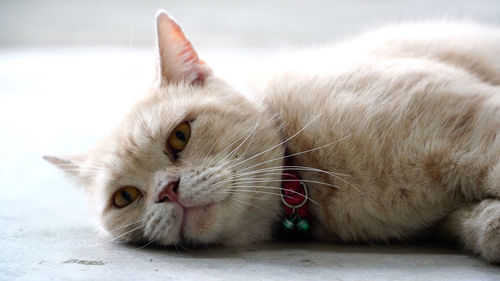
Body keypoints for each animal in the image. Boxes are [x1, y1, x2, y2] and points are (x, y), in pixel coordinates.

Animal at [44, 9, 500, 262]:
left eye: (179, 136)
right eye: (125, 197)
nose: (166, 191)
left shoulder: (476, 129)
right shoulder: (449, 211)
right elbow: (479, 225)